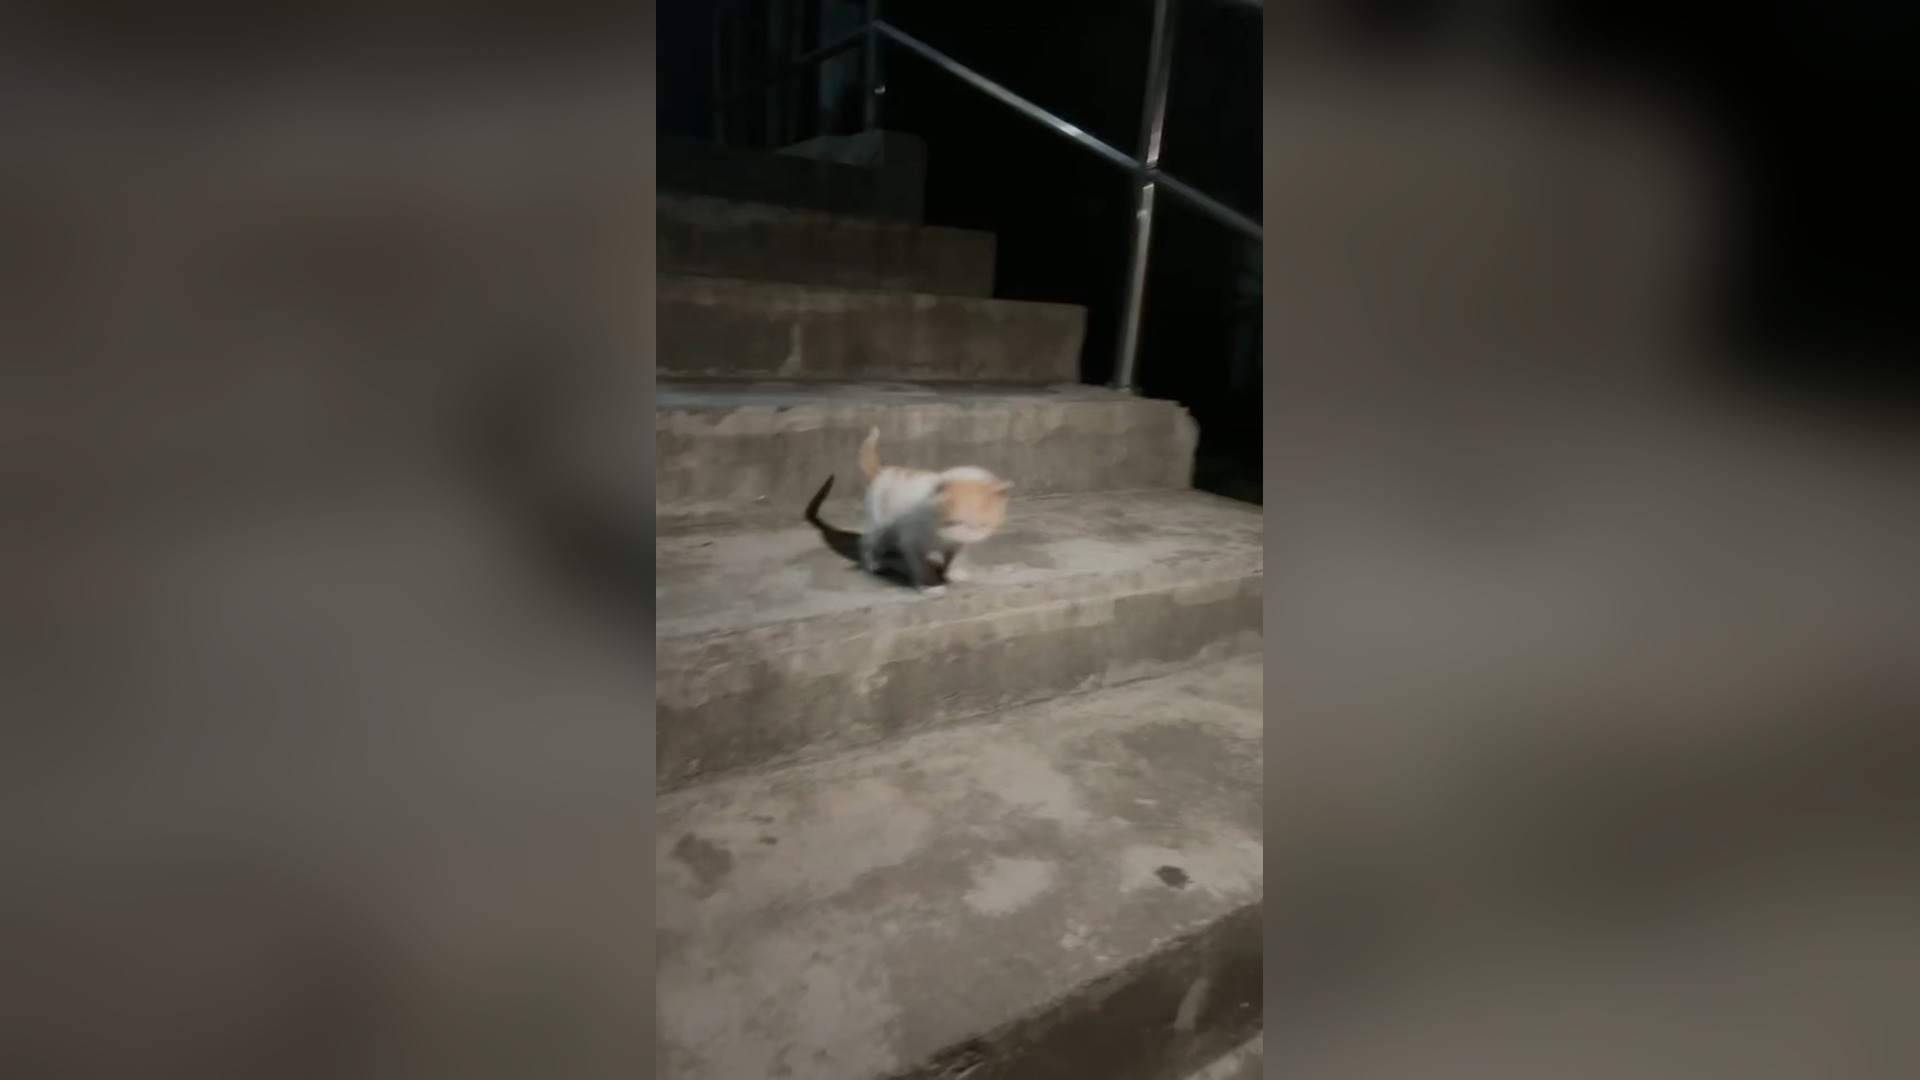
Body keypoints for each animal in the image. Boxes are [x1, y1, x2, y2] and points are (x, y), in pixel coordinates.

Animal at [857, 427, 1011, 594]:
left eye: (982, 525)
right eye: (953, 522)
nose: (969, 538)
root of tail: (882, 471)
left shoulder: (956, 544)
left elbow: (954, 555)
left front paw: (953, 571)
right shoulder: (911, 541)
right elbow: (920, 564)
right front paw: (929, 585)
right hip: (879, 524)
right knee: (869, 542)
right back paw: (873, 563)